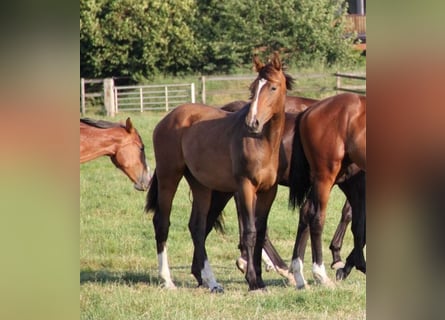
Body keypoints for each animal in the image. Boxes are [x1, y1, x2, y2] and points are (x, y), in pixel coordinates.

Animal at [145, 53, 292, 292]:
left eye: (273, 87)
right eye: (253, 88)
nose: (253, 122)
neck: (262, 143)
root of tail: (167, 118)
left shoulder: (269, 191)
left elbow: (260, 232)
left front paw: (260, 280)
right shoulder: (245, 187)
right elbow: (250, 232)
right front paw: (253, 281)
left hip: (201, 185)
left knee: (197, 226)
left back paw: (212, 282)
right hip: (169, 176)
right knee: (162, 222)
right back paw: (167, 280)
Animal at [286, 93, 366, 290]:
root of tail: (308, 112)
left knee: (306, 212)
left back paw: (298, 274)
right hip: (325, 177)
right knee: (316, 218)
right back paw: (320, 274)